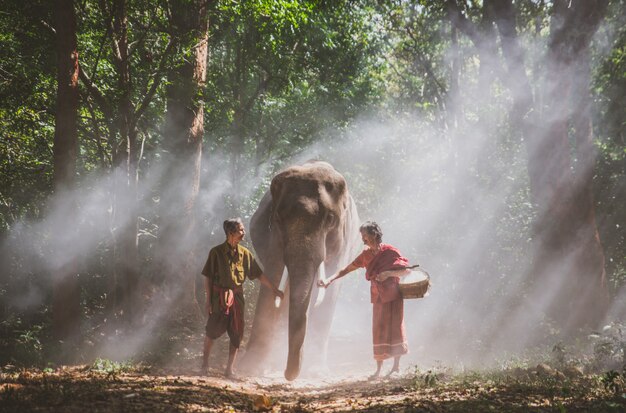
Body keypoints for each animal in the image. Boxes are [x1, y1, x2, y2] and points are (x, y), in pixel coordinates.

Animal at [241, 160, 358, 380]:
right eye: (278, 218)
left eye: (330, 219)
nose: (289, 375)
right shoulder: (274, 236)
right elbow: (274, 275)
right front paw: (250, 368)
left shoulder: (343, 241)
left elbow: (330, 290)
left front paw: (316, 372)